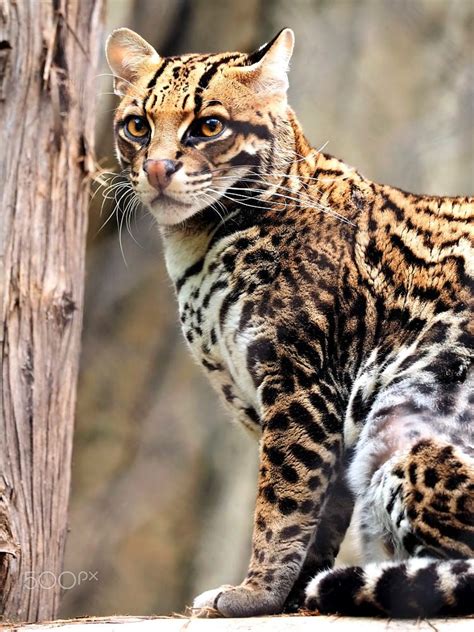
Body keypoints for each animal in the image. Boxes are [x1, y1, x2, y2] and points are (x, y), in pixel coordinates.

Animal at [105, 27, 472, 616]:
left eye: (208, 126)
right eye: (137, 125)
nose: (157, 169)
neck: (196, 240)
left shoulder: (303, 383)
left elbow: (282, 502)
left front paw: (254, 594)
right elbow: (318, 515)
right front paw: (292, 595)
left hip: (407, 442)